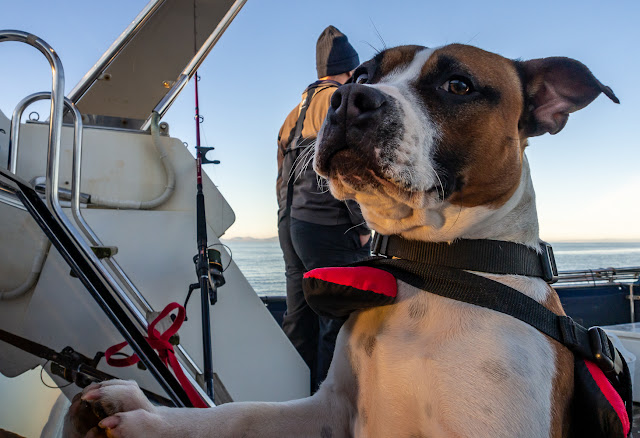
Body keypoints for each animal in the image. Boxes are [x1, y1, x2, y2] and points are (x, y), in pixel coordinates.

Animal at [66, 45, 620, 438]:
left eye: (457, 84)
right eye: (362, 75)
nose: (349, 99)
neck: (431, 269)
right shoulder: (327, 410)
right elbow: (241, 415)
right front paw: (150, 418)